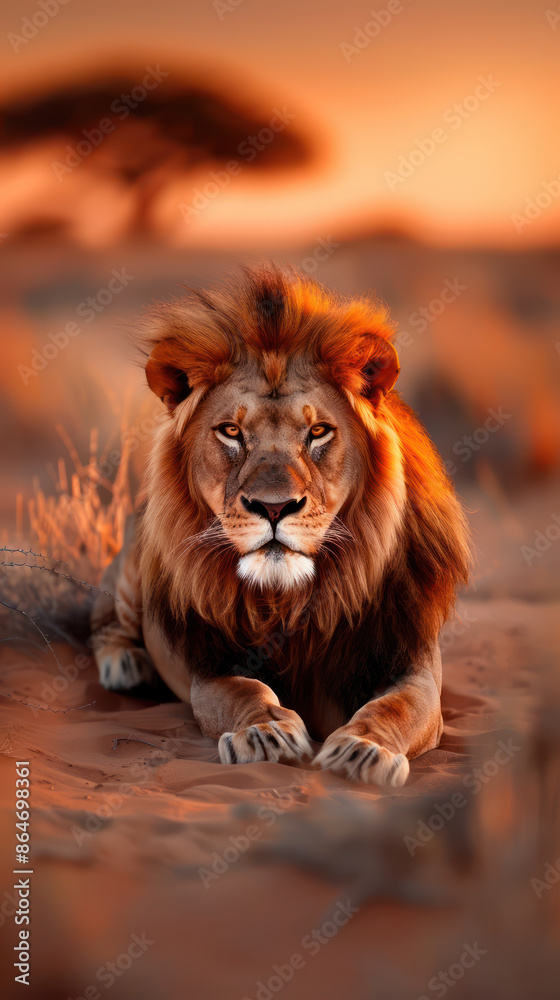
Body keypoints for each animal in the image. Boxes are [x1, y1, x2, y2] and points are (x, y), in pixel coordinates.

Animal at [90, 264, 470, 786]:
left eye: (318, 432)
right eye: (231, 431)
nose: (273, 508)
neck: (295, 602)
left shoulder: (413, 662)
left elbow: (394, 707)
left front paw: (362, 751)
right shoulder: (211, 666)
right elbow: (246, 692)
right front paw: (265, 734)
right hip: (131, 567)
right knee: (105, 619)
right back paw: (125, 663)